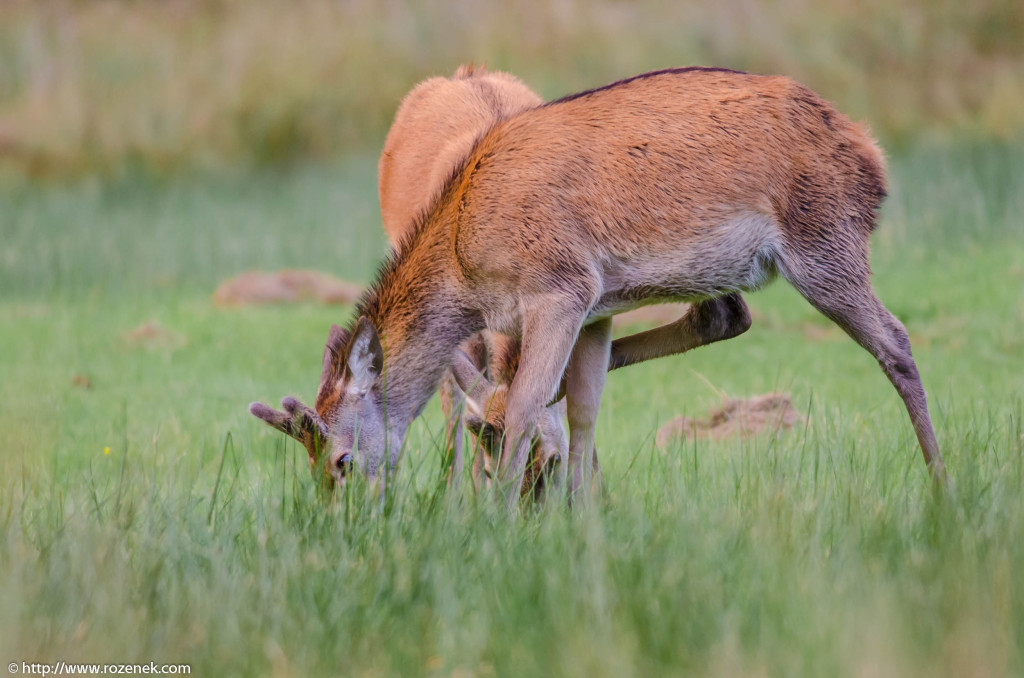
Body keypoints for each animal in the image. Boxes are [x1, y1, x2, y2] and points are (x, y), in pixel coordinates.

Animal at [253, 66, 942, 510]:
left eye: (340, 459)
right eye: (308, 462)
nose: (341, 520)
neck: (466, 262)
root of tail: (871, 154)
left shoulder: (559, 287)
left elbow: (527, 406)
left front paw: (494, 523)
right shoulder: (595, 305)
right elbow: (583, 408)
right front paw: (582, 521)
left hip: (824, 244)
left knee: (896, 342)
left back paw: (942, 489)